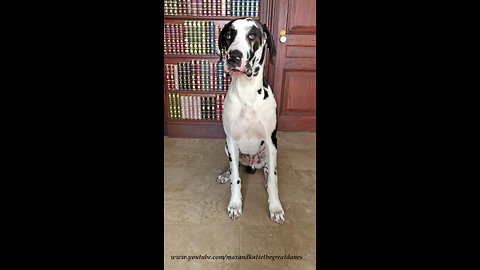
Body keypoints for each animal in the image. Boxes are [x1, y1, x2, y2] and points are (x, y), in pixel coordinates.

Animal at [216, 18, 284, 224]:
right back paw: (225, 175)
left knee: (269, 170)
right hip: (228, 147)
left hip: (271, 151)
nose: (233, 57)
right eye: (228, 35)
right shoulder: (231, 141)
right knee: (235, 167)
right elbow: (236, 178)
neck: (247, 93)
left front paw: (275, 207)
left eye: (252, 35)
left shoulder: (271, 140)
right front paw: (235, 204)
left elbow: (273, 180)